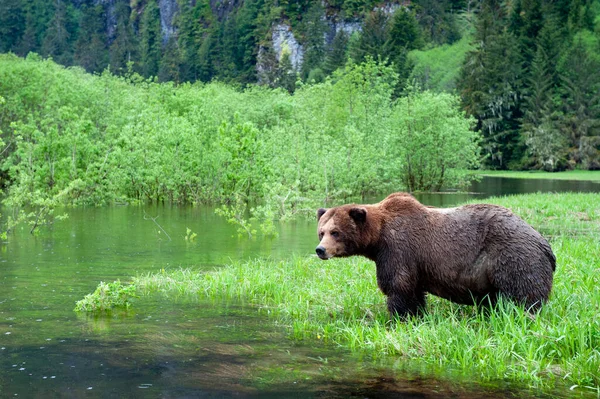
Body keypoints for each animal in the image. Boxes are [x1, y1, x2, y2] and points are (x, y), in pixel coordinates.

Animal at [316, 194, 556, 318]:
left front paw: (398, 317)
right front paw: (417, 315)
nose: (320, 249)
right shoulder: (413, 264)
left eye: (335, 232)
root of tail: (545, 244)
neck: (377, 239)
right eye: (321, 231)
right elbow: (414, 291)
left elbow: (397, 286)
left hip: (513, 257)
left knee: (522, 298)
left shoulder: (398, 250)